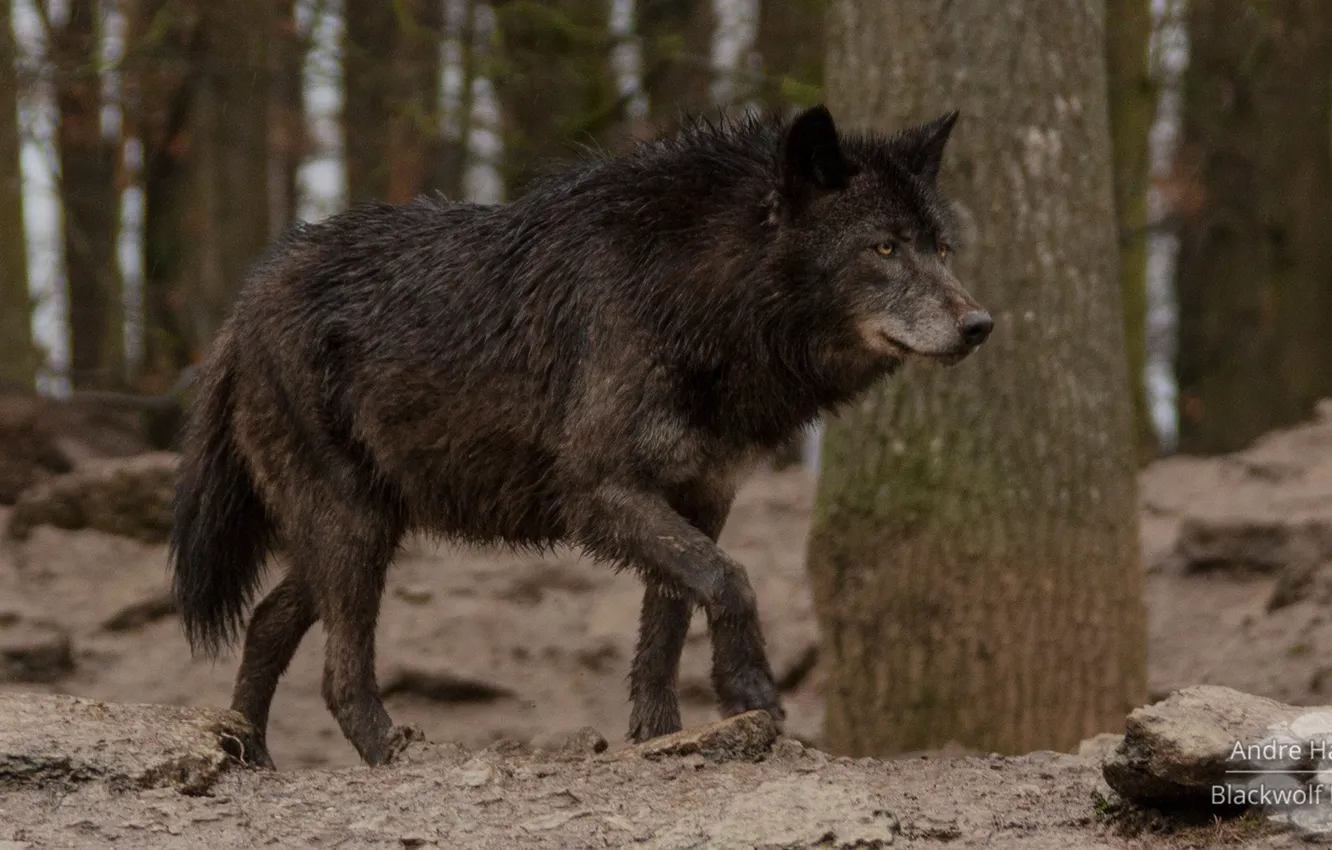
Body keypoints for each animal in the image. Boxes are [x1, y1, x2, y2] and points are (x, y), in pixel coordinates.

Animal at [169, 104, 993, 767]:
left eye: (942, 250)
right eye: (884, 248)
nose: (980, 325)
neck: (694, 297)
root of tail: (244, 304)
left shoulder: (700, 498)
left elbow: (667, 626)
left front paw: (662, 738)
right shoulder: (599, 492)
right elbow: (730, 579)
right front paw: (748, 690)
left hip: (359, 529)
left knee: (268, 622)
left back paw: (250, 755)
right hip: (353, 529)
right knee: (339, 673)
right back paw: (390, 756)